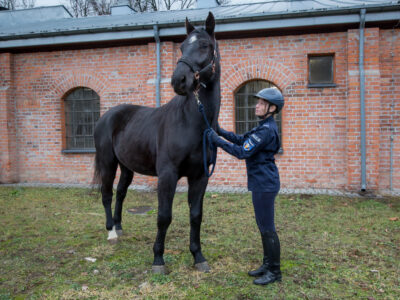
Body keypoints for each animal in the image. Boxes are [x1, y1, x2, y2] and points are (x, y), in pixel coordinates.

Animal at [93, 12, 220, 274]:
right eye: (181, 46)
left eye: (205, 45)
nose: (179, 80)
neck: (192, 122)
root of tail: (106, 116)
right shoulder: (168, 175)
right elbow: (164, 216)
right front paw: (158, 260)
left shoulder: (200, 176)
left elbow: (196, 215)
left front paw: (198, 257)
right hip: (107, 163)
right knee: (107, 194)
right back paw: (111, 232)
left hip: (127, 167)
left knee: (120, 193)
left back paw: (119, 227)